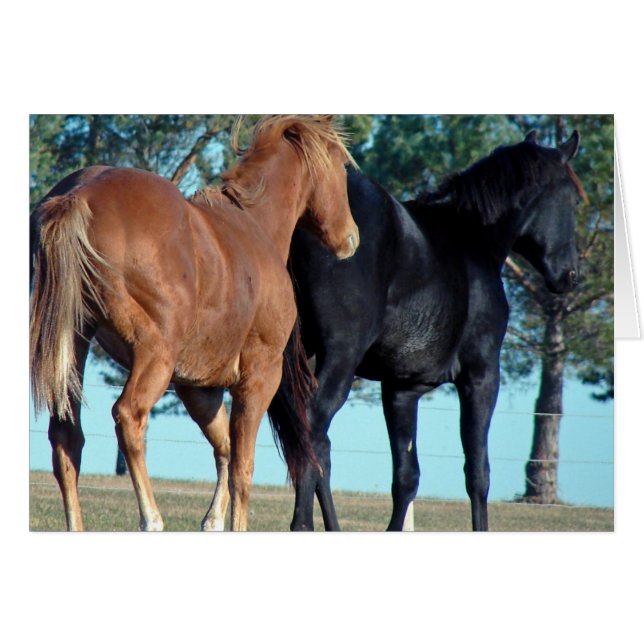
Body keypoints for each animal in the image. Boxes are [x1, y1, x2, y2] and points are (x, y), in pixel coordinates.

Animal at [30, 115, 359, 531]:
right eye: (341, 164)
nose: (351, 237)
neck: (254, 227)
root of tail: (80, 195)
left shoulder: (198, 388)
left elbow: (225, 449)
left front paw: (213, 520)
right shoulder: (258, 378)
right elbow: (242, 469)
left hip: (73, 343)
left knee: (67, 437)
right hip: (154, 354)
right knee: (129, 417)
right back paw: (152, 518)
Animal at [271, 130, 585, 531]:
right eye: (573, 199)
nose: (570, 275)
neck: (470, 242)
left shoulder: (402, 389)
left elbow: (406, 477)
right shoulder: (481, 375)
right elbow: (478, 473)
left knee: (310, 444)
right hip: (338, 360)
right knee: (311, 433)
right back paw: (302, 524)